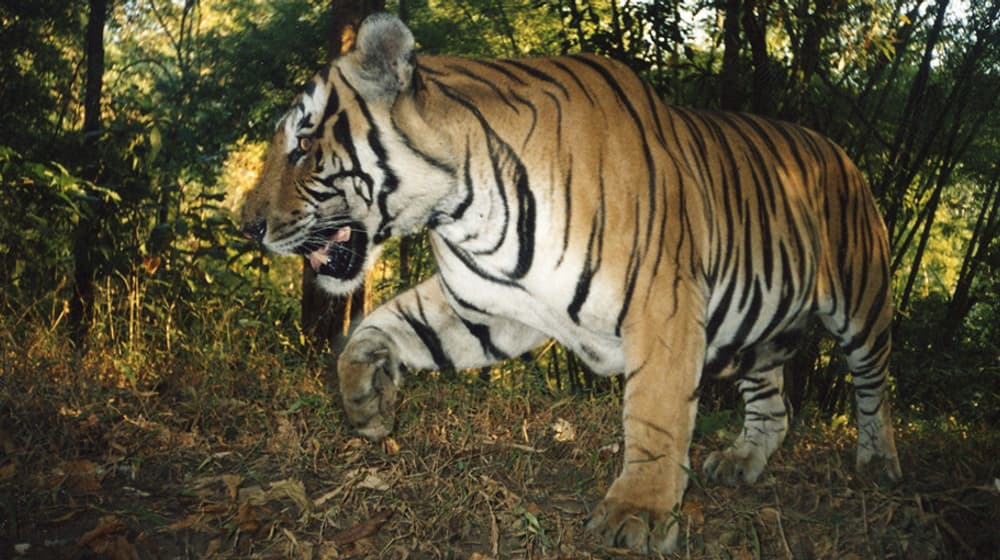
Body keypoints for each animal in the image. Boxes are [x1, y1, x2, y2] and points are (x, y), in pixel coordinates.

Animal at [239, 13, 902, 554]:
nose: (247, 226)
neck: (462, 206)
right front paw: (368, 403)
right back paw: (741, 462)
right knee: (773, 407)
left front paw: (638, 513)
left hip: (862, 304)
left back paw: (880, 463)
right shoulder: (486, 310)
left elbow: (655, 414)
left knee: (873, 386)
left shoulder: (662, 303)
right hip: (755, 336)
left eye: (303, 145)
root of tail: (839, 149)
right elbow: (379, 328)